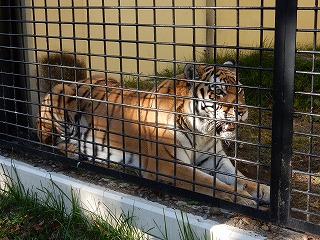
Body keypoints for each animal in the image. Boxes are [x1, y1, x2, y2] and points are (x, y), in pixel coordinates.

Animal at [35, 60, 270, 206]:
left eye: (240, 90)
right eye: (219, 91)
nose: (242, 111)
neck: (203, 132)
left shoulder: (215, 161)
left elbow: (241, 178)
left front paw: (264, 190)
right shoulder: (167, 164)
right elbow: (211, 183)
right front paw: (244, 198)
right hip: (58, 96)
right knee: (49, 140)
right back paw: (75, 151)